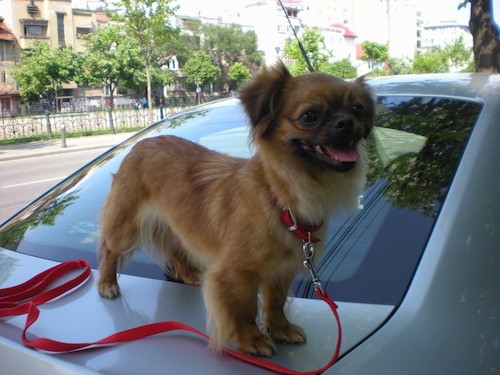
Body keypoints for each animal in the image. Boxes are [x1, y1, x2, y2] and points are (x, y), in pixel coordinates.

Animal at [96, 63, 376, 360]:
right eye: (309, 116)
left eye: (358, 109)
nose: (346, 122)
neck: (279, 199)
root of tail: (141, 143)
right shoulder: (236, 275)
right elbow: (245, 309)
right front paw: (251, 340)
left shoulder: (283, 269)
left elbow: (275, 303)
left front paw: (280, 329)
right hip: (125, 226)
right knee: (110, 250)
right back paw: (106, 283)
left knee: (174, 248)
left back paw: (188, 274)